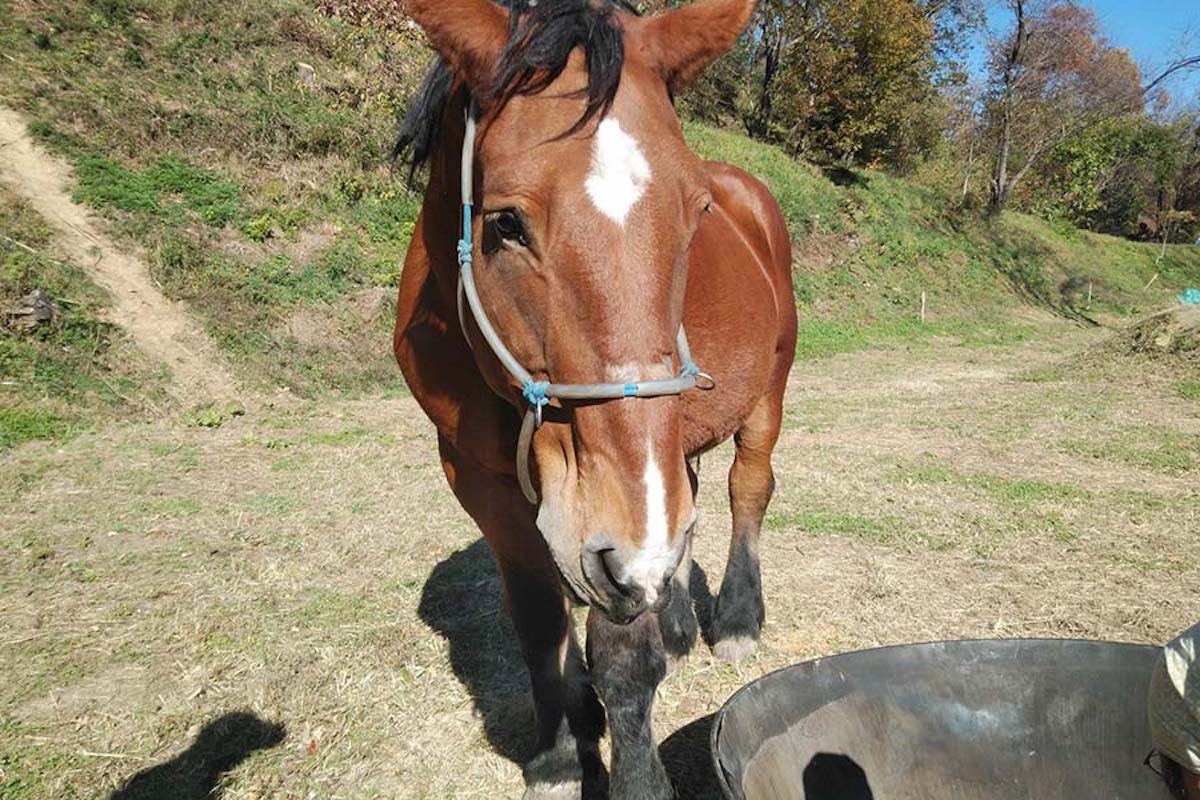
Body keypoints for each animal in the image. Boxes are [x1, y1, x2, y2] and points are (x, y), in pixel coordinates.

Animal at [391, 0, 796, 796]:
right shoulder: (481, 482)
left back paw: (735, 618)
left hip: (768, 388)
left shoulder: (620, 527)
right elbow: (539, 620)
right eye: (505, 223)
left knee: (746, 488)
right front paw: (557, 752)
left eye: (695, 214)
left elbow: (623, 655)